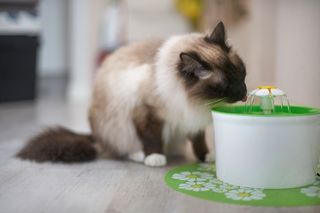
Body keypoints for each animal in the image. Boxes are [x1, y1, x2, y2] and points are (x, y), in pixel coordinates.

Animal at [16, 22, 248, 167]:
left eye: (241, 73)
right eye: (225, 85)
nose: (244, 93)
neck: (196, 101)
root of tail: (94, 136)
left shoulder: (192, 119)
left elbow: (199, 141)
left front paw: (206, 156)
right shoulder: (147, 113)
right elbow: (151, 138)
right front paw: (154, 157)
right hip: (117, 125)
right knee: (120, 148)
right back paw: (139, 155)